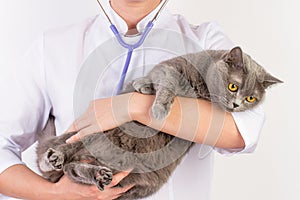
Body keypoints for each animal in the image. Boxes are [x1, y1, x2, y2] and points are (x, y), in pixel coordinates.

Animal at [37, 47, 282, 200]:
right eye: (233, 86)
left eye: (251, 98)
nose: (235, 105)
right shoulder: (171, 67)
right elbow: (166, 83)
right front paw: (155, 102)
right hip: (91, 132)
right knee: (61, 154)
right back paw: (55, 158)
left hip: (134, 181)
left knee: (72, 171)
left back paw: (97, 175)